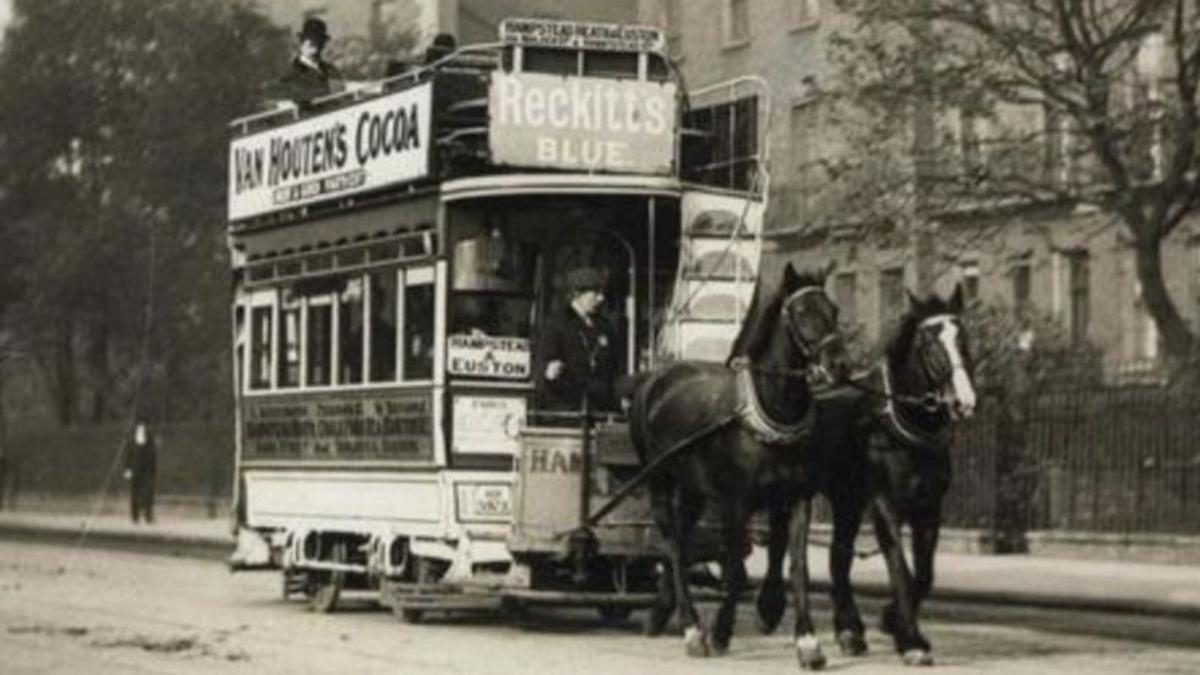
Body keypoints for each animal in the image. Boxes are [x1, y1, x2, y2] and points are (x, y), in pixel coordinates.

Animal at [633, 261, 849, 662]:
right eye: (801, 312)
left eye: (834, 310)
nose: (839, 365)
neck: (772, 411)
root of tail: (654, 379)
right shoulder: (736, 502)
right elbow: (733, 567)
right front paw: (720, 631)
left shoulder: (797, 498)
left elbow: (798, 567)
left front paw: (808, 641)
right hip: (659, 479)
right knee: (672, 543)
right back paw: (691, 627)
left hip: (693, 489)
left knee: (683, 541)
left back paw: (664, 612)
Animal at [753, 282, 979, 662]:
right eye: (928, 343)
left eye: (963, 338)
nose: (963, 402)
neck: (897, 423)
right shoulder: (883, 501)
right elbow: (900, 566)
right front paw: (910, 639)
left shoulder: (929, 505)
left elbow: (925, 574)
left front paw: (893, 621)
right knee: (780, 541)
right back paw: (771, 607)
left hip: (847, 499)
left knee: (838, 556)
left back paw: (849, 629)